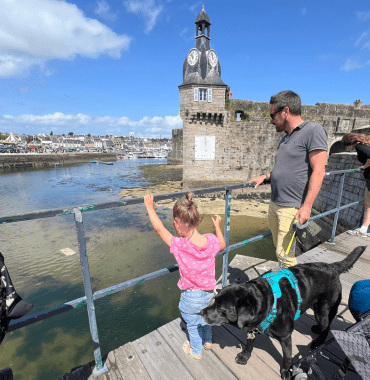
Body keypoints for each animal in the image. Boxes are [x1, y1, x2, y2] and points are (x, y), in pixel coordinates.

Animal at [201, 245, 366, 378]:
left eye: (221, 308)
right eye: (215, 300)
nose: (202, 312)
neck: (266, 302)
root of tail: (332, 267)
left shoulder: (286, 336)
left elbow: (287, 356)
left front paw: (287, 371)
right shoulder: (252, 329)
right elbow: (249, 343)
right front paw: (245, 356)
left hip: (323, 309)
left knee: (327, 327)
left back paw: (317, 341)